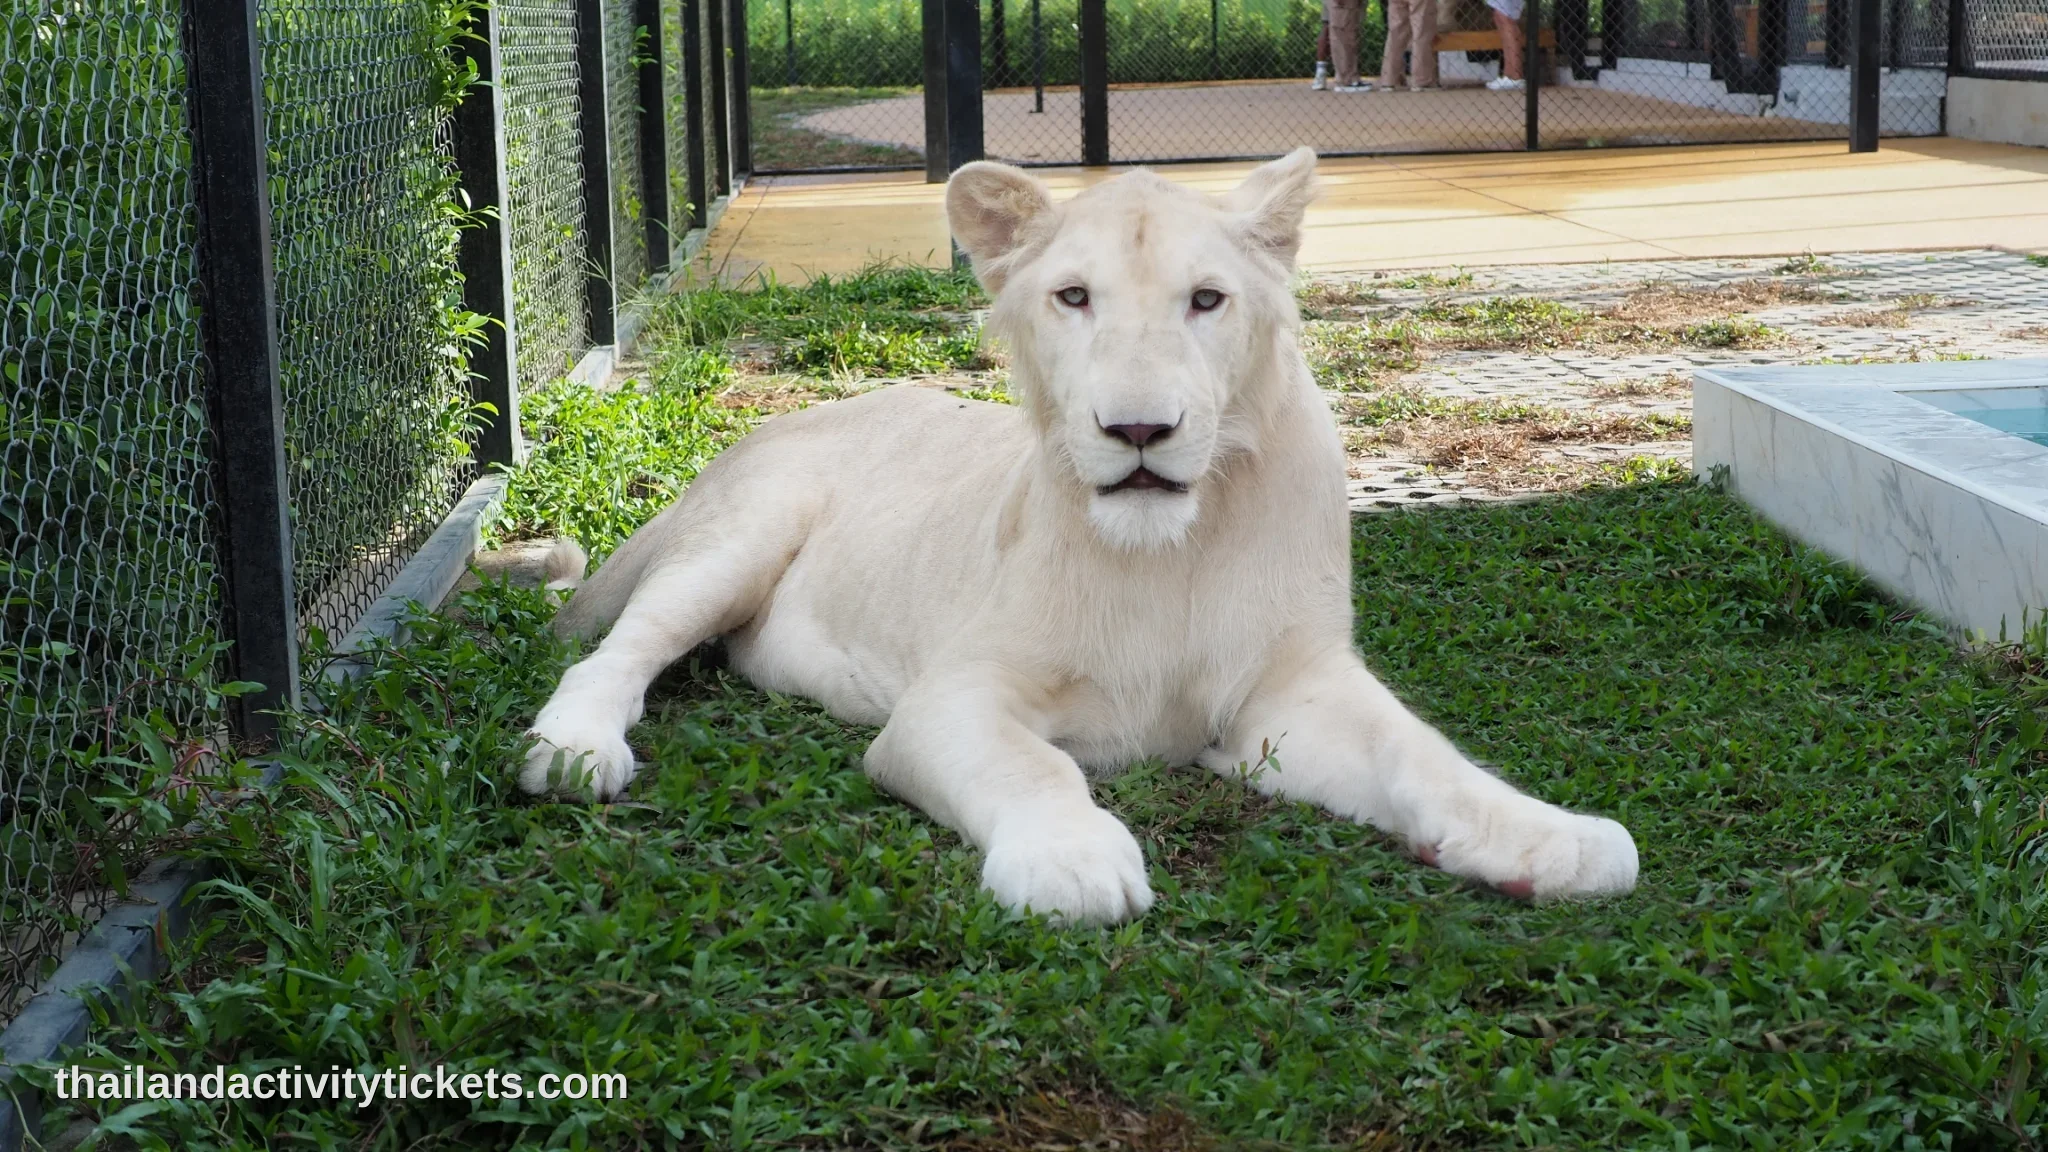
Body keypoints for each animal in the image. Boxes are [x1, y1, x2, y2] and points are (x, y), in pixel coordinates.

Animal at [519, 148, 1638, 923]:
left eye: (1205, 299)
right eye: (1073, 297)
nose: (1138, 431)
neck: (1172, 553)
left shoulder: (1287, 691)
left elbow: (1425, 757)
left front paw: (1552, 841)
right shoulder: (946, 701)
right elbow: (1032, 768)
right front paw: (1073, 861)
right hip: (739, 536)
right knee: (616, 653)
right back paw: (574, 751)